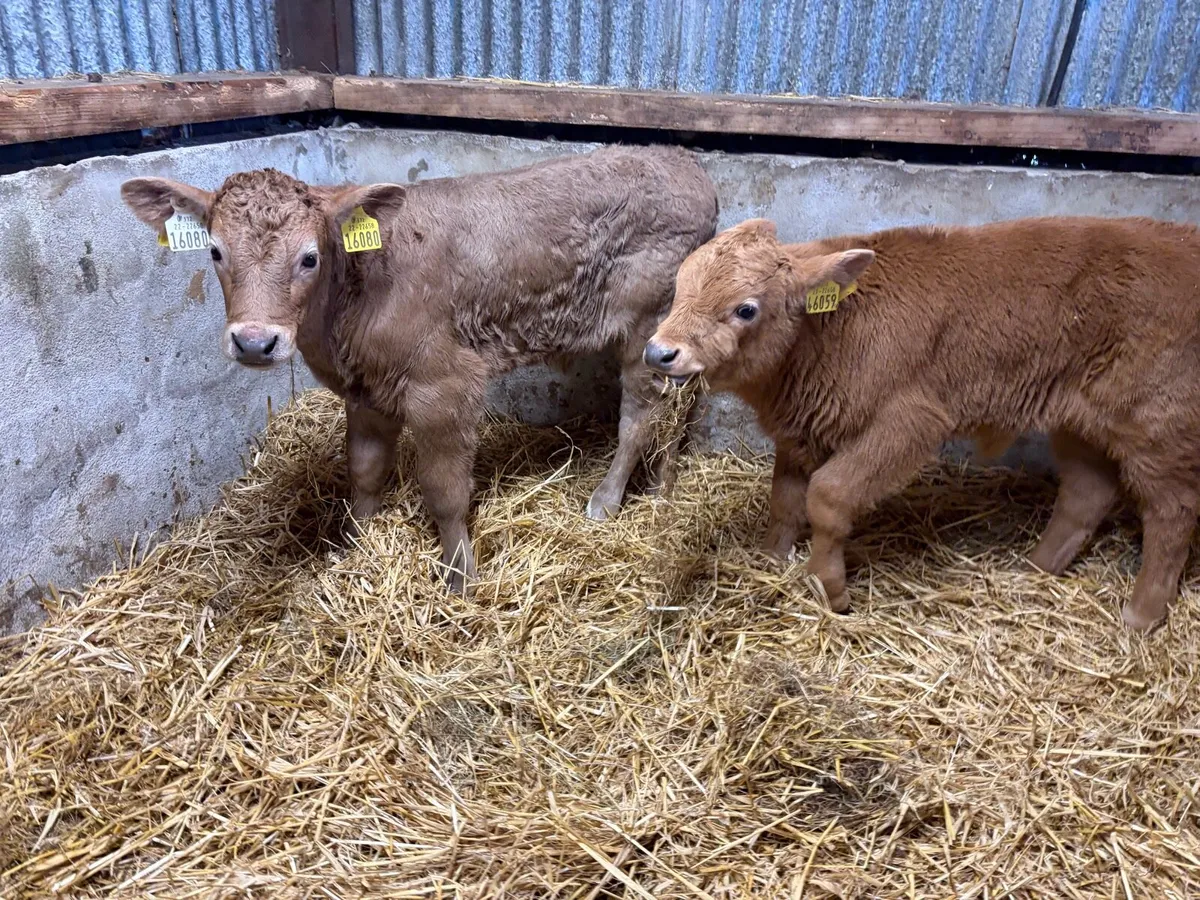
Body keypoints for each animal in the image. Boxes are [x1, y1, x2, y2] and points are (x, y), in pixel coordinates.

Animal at [122, 146, 718, 591]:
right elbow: (363, 472)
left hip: (647, 322)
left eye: (310, 257)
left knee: (639, 413)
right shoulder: (365, 390)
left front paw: (460, 580)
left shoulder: (445, 385)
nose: (254, 341)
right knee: (676, 405)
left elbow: (445, 491)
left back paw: (606, 500)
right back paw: (663, 486)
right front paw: (355, 551)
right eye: (216, 252)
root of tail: (688, 165)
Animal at [643, 216, 1200, 631]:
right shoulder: (801, 433)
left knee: (1172, 510)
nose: (659, 352)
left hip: (1157, 423)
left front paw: (830, 588)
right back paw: (1034, 570)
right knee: (1088, 492)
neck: (831, 330)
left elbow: (827, 496)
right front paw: (771, 560)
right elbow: (785, 501)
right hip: (1081, 422)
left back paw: (1140, 615)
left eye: (746, 309)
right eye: (679, 286)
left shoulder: (908, 422)